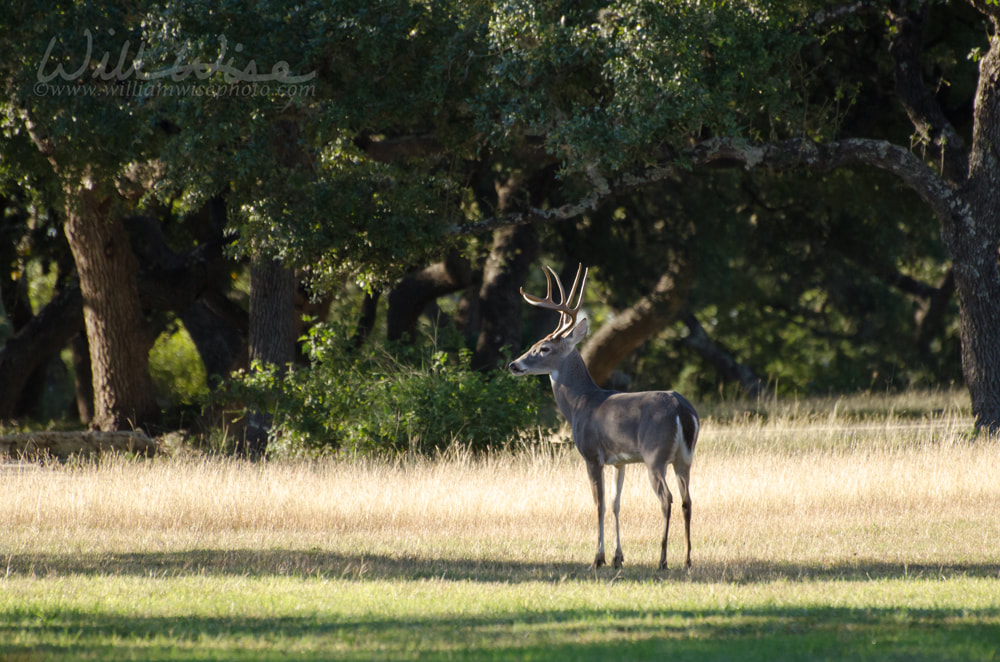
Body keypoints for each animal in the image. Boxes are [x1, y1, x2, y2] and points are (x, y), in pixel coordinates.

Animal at [508, 264, 696, 572]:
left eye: (544, 348)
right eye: (534, 343)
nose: (514, 364)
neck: (580, 404)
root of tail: (682, 408)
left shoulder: (591, 454)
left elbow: (599, 504)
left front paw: (598, 558)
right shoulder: (620, 461)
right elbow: (617, 504)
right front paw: (619, 557)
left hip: (655, 454)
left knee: (666, 498)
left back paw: (663, 559)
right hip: (685, 457)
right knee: (687, 500)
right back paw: (689, 559)